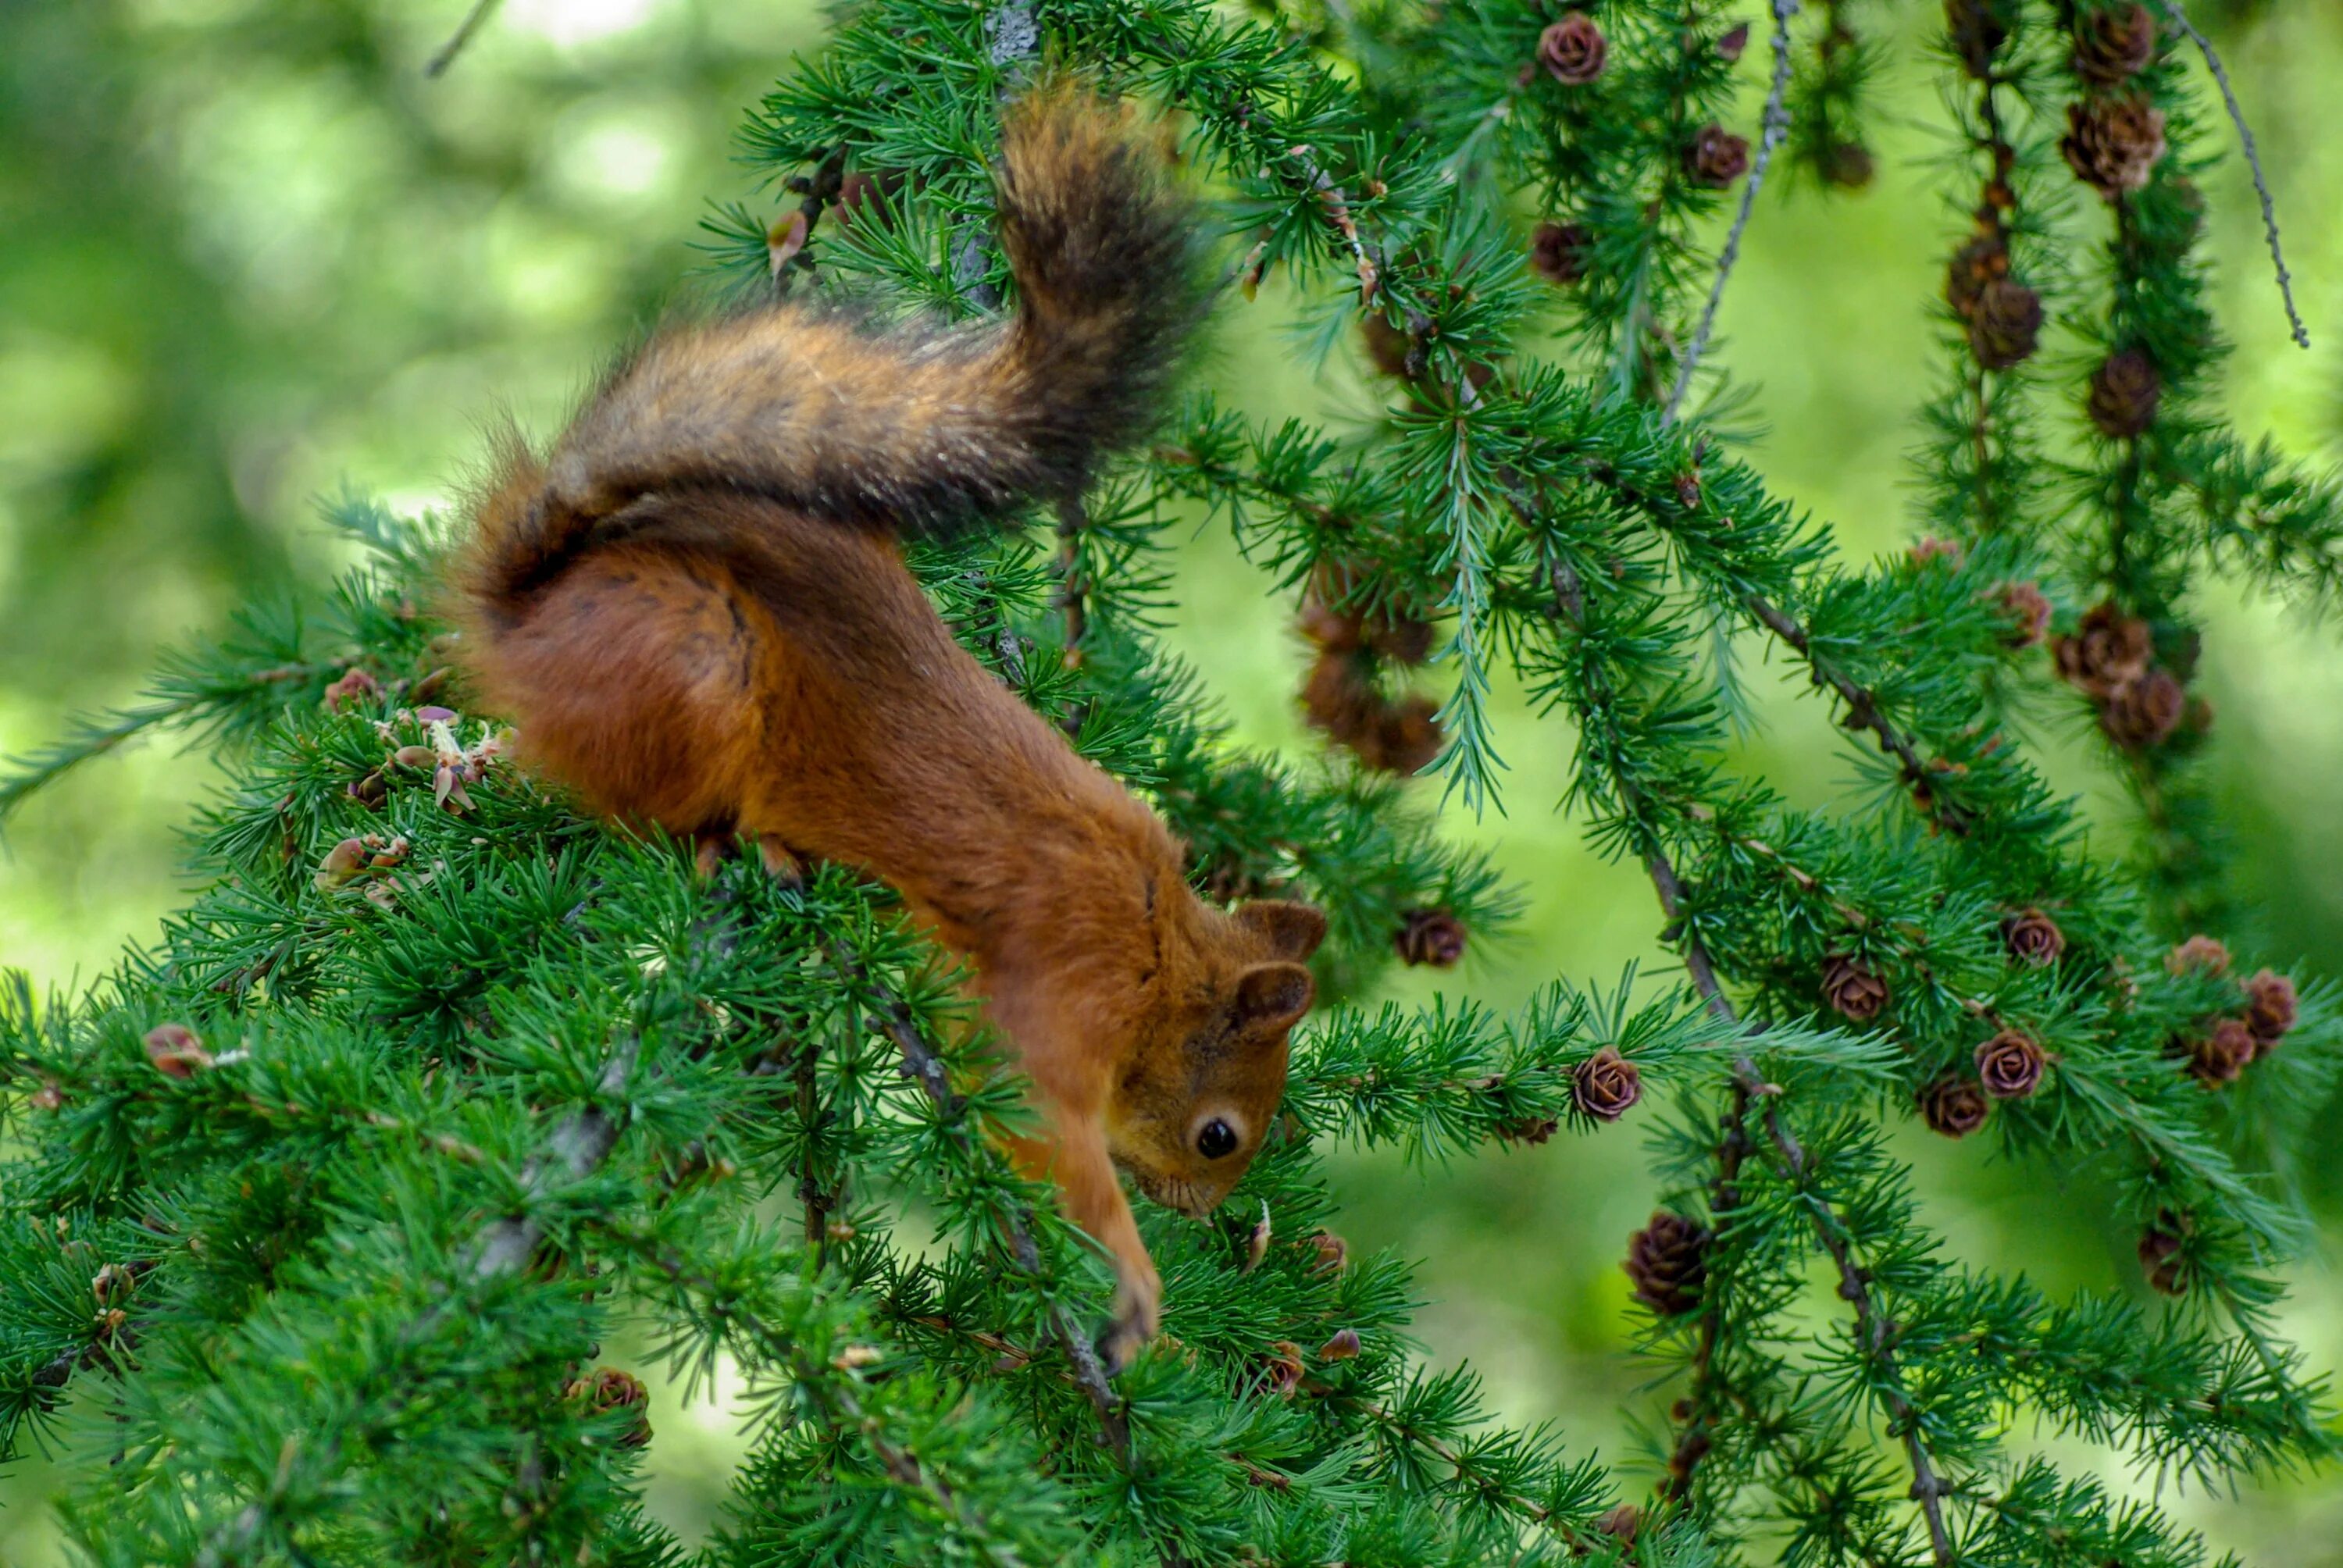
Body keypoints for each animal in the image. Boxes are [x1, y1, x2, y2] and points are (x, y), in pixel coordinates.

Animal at [443, 80, 1321, 1359]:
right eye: (1221, 1134)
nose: (1204, 1214)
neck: (1162, 943)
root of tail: (524, 619)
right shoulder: (1062, 984)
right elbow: (1032, 1111)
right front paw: (1133, 1277)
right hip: (699, 669)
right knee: (634, 806)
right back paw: (733, 844)